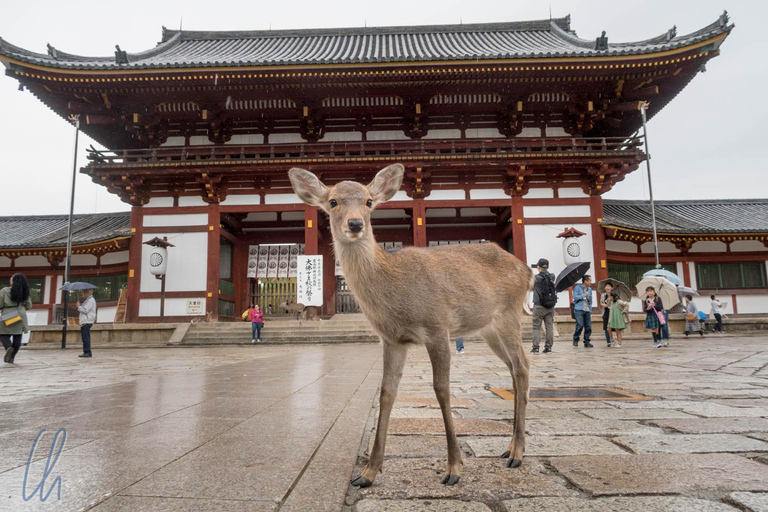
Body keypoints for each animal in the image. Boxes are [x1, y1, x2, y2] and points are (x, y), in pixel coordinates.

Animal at [288, 164, 536, 488]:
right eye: (332, 201)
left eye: (369, 201)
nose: (355, 224)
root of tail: (527, 272)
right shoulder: (392, 339)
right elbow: (386, 392)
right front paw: (367, 473)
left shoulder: (436, 326)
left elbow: (441, 388)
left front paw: (454, 468)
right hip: (489, 329)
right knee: (513, 368)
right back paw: (509, 448)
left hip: (508, 314)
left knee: (522, 366)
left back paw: (517, 453)